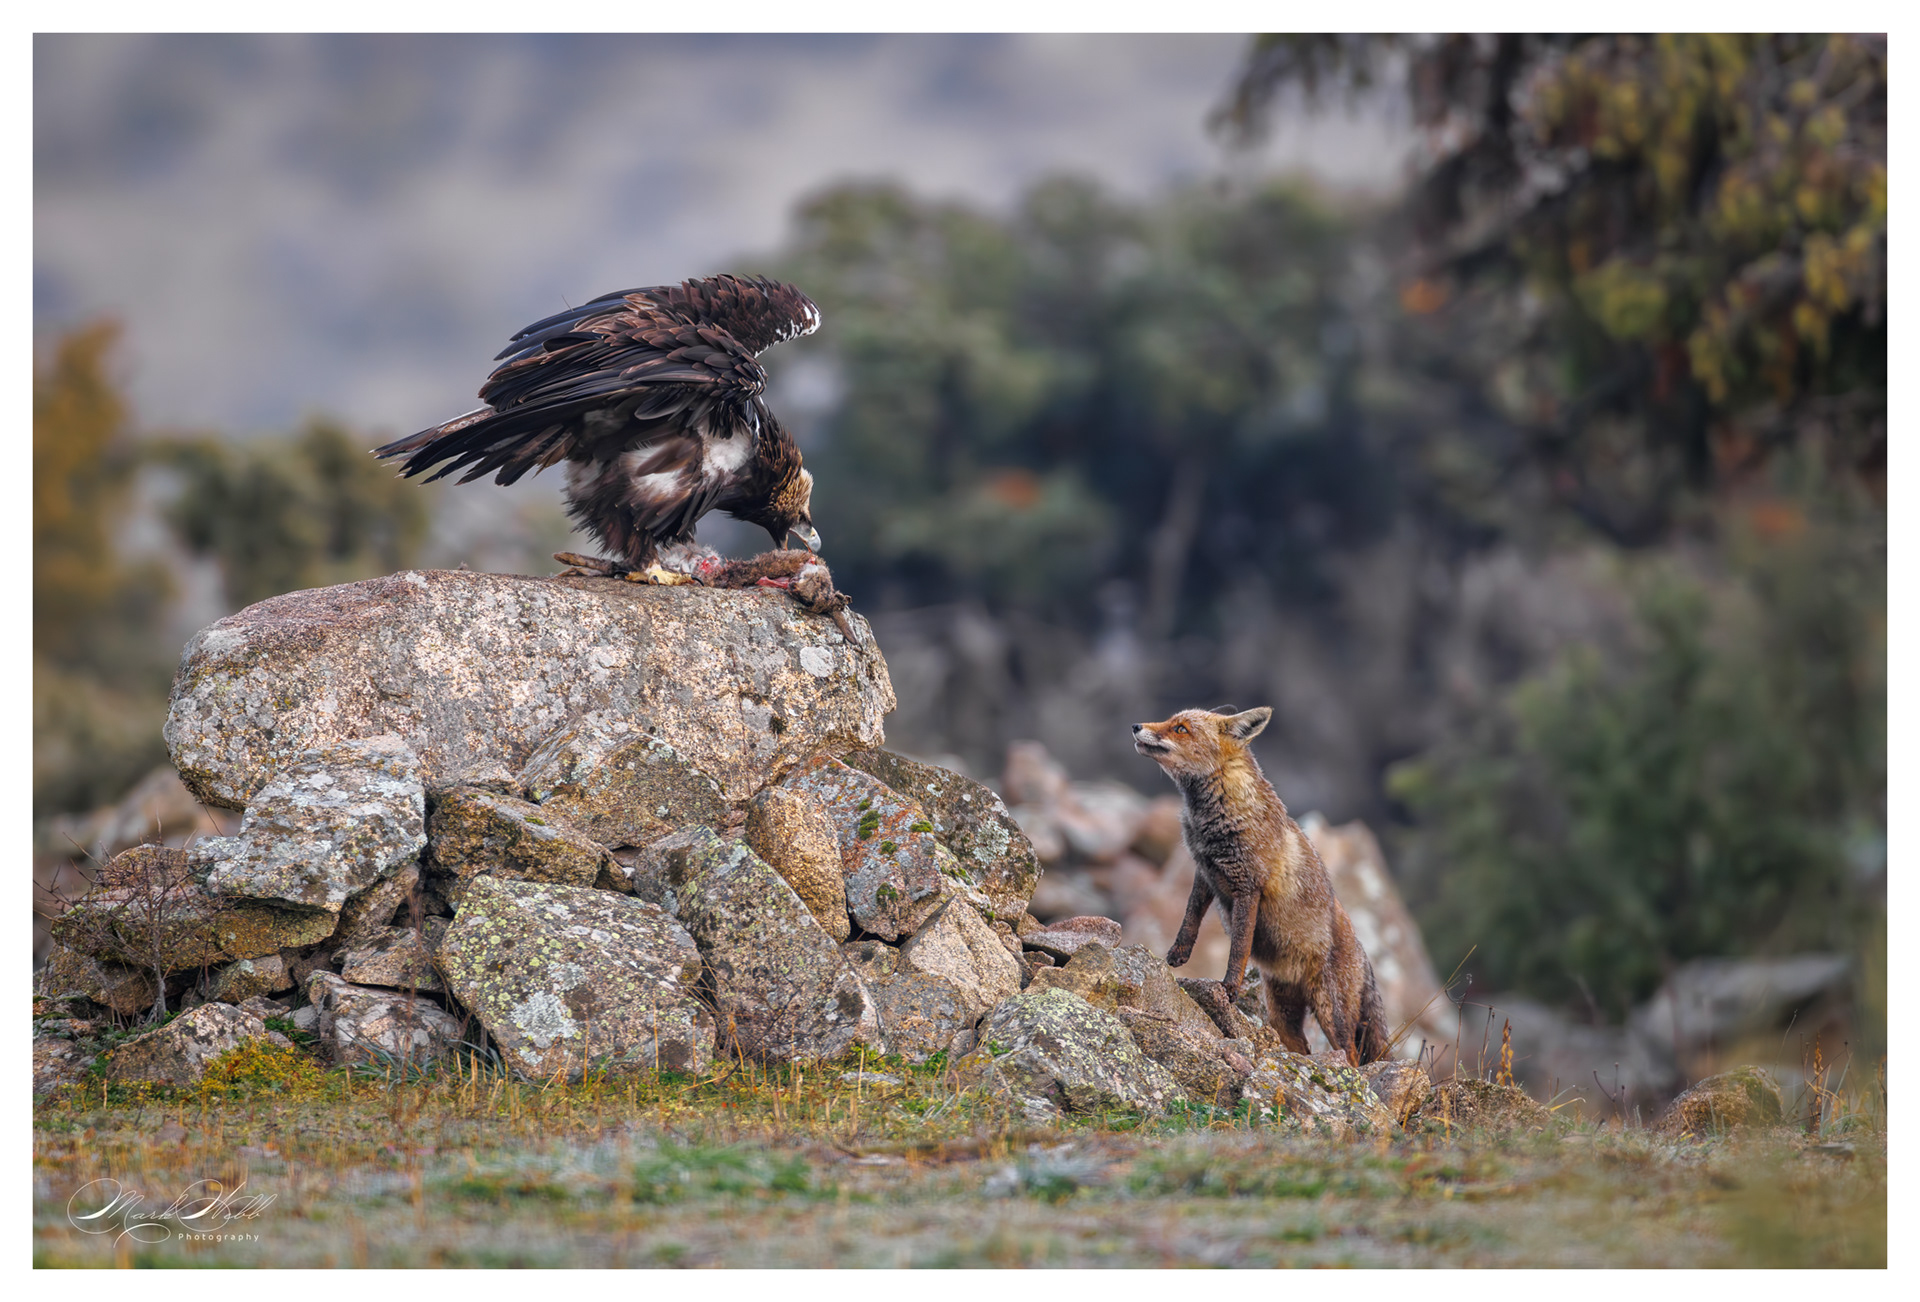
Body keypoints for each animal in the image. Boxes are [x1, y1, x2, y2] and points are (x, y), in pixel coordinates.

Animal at [1132, 706, 1389, 1066]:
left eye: (1181, 729)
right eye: (1171, 721)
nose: (1135, 726)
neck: (1217, 818)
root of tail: (1365, 956)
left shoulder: (1248, 887)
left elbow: (1239, 947)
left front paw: (1228, 989)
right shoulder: (1204, 872)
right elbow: (1189, 918)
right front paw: (1177, 954)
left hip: (1332, 1015)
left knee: (1350, 1054)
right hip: (1283, 1016)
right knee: (1301, 1047)